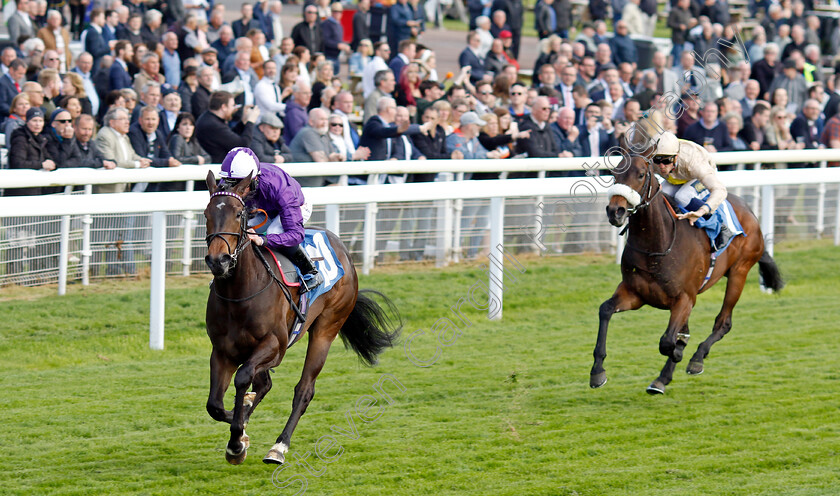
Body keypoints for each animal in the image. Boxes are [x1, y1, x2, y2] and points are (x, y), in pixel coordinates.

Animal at [203, 171, 400, 464]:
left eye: (238, 214)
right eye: (206, 213)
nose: (219, 261)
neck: (240, 294)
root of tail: (343, 249)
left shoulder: (275, 346)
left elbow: (243, 378)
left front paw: (238, 439)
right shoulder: (222, 350)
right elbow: (215, 405)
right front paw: (240, 431)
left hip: (326, 328)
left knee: (304, 390)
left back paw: (278, 447)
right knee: (264, 384)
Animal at [588, 133, 784, 396]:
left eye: (641, 174)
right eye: (614, 173)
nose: (615, 211)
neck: (657, 245)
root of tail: (750, 212)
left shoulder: (684, 298)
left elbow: (668, 341)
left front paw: (679, 354)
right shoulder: (635, 293)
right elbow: (605, 310)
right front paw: (597, 371)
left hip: (739, 273)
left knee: (723, 323)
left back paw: (696, 359)